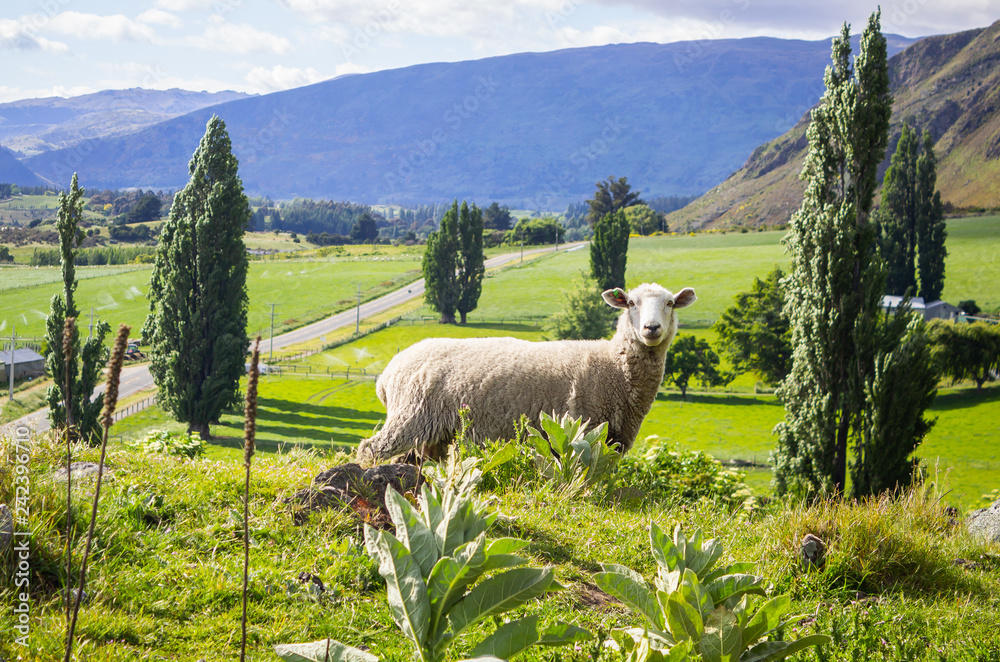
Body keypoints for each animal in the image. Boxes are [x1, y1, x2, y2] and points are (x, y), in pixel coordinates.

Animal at [356, 282, 697, 463]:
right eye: (631, 303)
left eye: (670, 303)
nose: (651, 328)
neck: (613, 366)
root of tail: (387, 373)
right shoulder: (581, 429)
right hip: (411, 414)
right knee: (371, 449)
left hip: (433, 431)